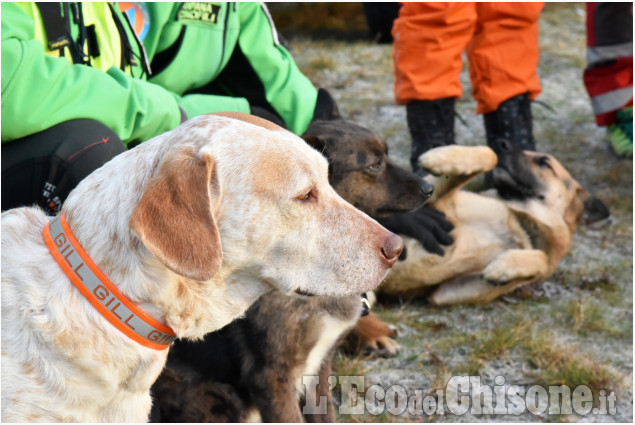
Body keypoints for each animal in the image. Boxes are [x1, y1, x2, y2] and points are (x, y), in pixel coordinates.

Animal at [380, 139, 608, 304]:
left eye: (544, 162)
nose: (502, 142)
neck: (520, 224)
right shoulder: (435, 202)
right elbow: (490, 155)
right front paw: (438, 157)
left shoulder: (445, 292)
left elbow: (541, 259)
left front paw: (504, 266)